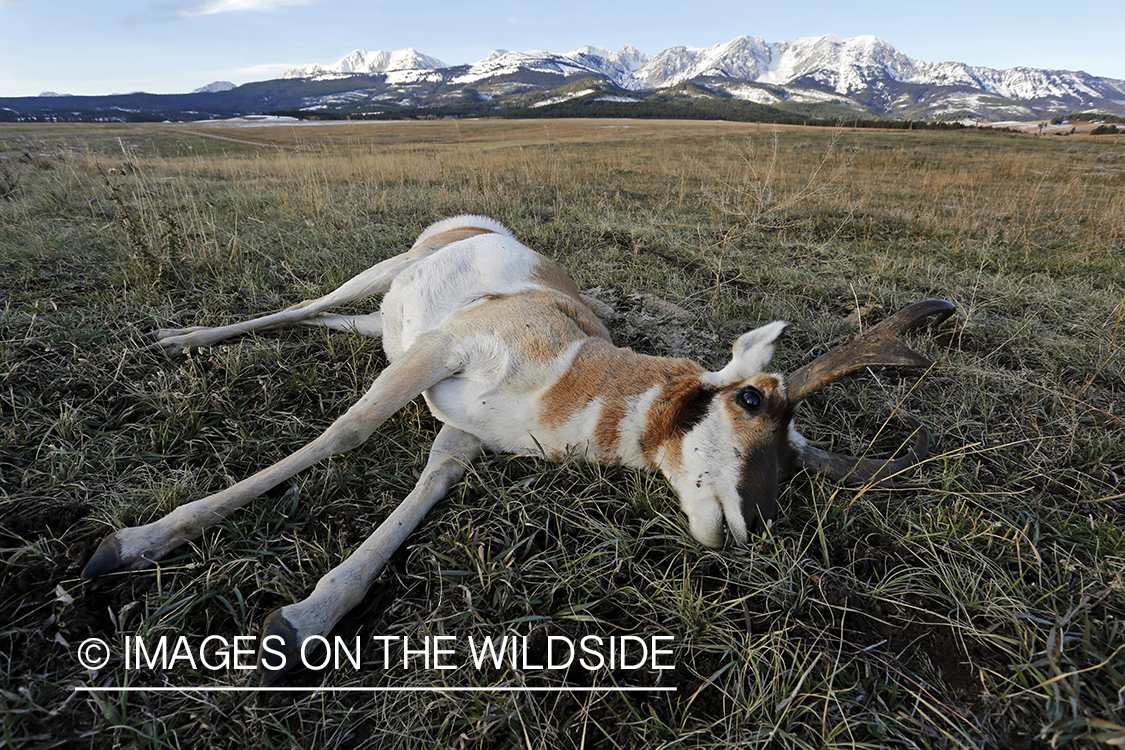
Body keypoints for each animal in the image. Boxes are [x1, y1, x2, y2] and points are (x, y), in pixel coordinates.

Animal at [81, 213, 958, 679]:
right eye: (751, 399)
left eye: (798, 459)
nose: (760, 526)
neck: (577, 366)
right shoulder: (441, 356)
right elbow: (348, 430)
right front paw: (134, 543)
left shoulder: (462, 432)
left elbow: (421, 496)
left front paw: (303, 621)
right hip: (383, 276)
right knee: (304, 304)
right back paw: (180, 340)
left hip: (385, 328)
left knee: (337, 322)